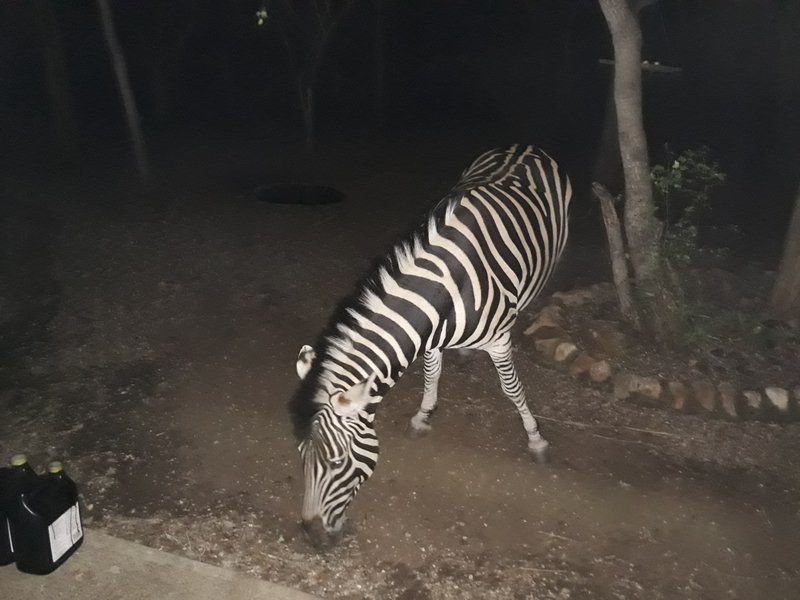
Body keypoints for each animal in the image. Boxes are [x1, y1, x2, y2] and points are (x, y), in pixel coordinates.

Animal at [290, 145, 572, 548]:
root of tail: (526, 146)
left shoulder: (499, 342)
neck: (447, 289)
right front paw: (423, 415)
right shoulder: (431, 337)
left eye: (338, 461)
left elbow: (512, 388)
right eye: (301, 454)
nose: (312, 535)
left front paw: (535, 439)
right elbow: (431, 374)